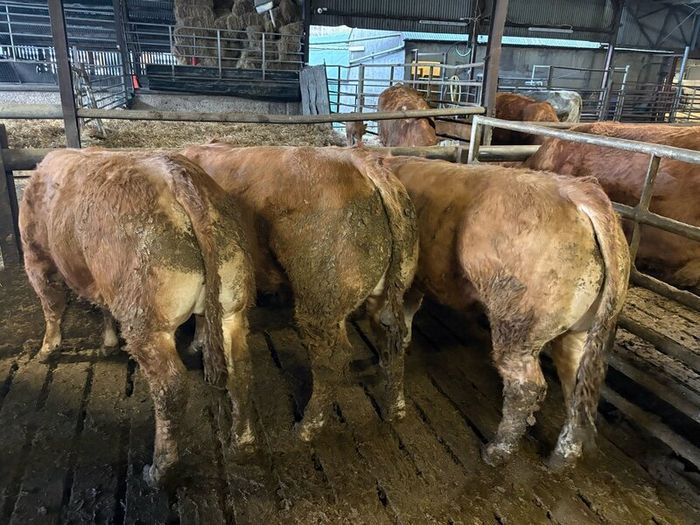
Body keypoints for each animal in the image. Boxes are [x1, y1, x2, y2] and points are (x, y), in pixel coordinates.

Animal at [19, 149, 256, 488]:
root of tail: (178, 175)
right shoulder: (101, 281)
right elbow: (103, 308)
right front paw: (107, 343)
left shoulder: (36, 255)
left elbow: (52, 305)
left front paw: (47, 350)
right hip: (231, 305)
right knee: (241, 369)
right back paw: (242, 445)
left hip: (147, 321)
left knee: (170, 388)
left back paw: (159, 471)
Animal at [181, 144, 419, 440]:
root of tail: (359, 161)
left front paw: (195, 345)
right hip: (387, 290)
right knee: (391, 338)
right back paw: (395, 410)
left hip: (318, 299)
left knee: (332, 358)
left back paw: (307, 427)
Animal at [384, 156, 630, 469]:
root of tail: (578, 191)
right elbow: (410, 306)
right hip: (581, 330)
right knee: (576, 385)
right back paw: (562, 457)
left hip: (517, 323)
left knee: (526, 386)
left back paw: (497, 451)